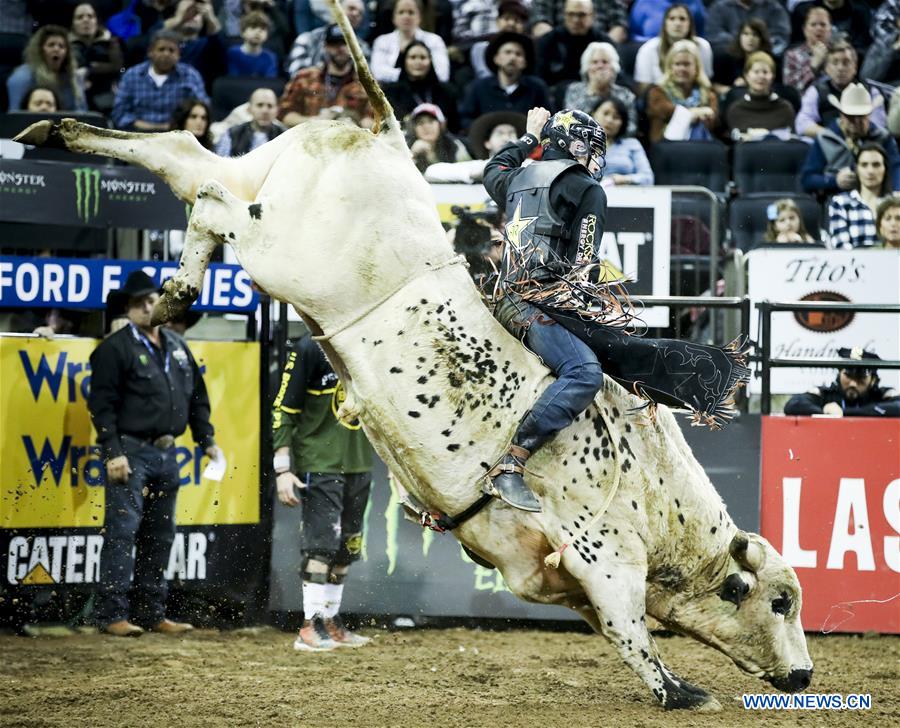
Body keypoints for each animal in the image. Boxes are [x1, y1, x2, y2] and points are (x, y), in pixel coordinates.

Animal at [15, 0, 812, 708]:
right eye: (779, 601)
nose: (804, 674)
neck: (653, 491)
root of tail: (388, 139)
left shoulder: (543, 571)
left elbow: (608, 622)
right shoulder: (604, 552)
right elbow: (630, 628)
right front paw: (680, 690)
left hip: (263, 182)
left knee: (184, 155)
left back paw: (76, 155)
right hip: (280, 250)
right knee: (212, 200)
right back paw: (173, 273)